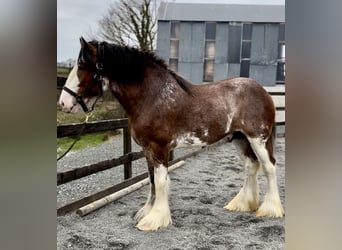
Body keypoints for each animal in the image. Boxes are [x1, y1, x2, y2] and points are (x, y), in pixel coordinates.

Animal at [58, 37, 284, 232]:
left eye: (82, 65)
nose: (63, 103)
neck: (152, 96)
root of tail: (264, 92)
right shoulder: (147, 149)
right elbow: (151, 181)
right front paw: (146, 213)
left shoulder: (159, 148)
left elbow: (160, 182)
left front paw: (155, 220)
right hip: (240, 139)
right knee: (251, 166)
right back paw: (242, 204)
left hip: (258, 139)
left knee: (269, 167)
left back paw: (270, 209)